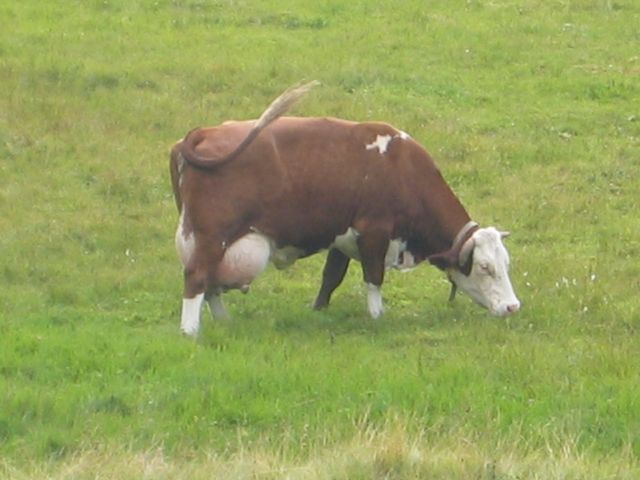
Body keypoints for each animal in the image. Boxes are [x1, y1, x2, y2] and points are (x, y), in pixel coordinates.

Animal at [171, 82, 520, 336]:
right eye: (485, 267)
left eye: (506, 263)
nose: (512, 307)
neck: (401, 167)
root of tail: (205, 133)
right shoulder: (374, 233)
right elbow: (374, 279)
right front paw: (378, 317)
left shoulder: (341, 237)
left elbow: (331, 277)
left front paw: (318, 311)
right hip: (214, 238)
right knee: (196, 279)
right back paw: (190, 332)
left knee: (212, 285)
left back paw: (225, 323)